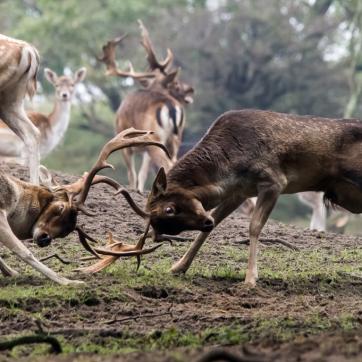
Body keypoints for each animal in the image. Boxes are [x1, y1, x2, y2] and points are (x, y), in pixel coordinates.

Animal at [0, 129, 170, 284]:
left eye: (65, 232)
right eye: (60, 208)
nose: (45, 238)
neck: (16, 198)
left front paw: (12, 273)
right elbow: (24, 252)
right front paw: (68, 281)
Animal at [99, 20, 194, 192]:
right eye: (175, 84)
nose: (191, 89)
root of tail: (171, 107)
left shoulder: (124, 140)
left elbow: (132, 174)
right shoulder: (145, 149)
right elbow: (142, 174)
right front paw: (139, 190)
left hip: (155, 138)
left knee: (166, 164)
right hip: (174, 139)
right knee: (174, 161)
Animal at [118, 109, 362, 288]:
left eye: (169, 210)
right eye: (161, 224)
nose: (204, 222)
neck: (228, 167)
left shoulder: (274, 181)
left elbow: (254, 227)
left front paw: (250, 278)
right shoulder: (238, 192)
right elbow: (214, 225)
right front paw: (178, 267)